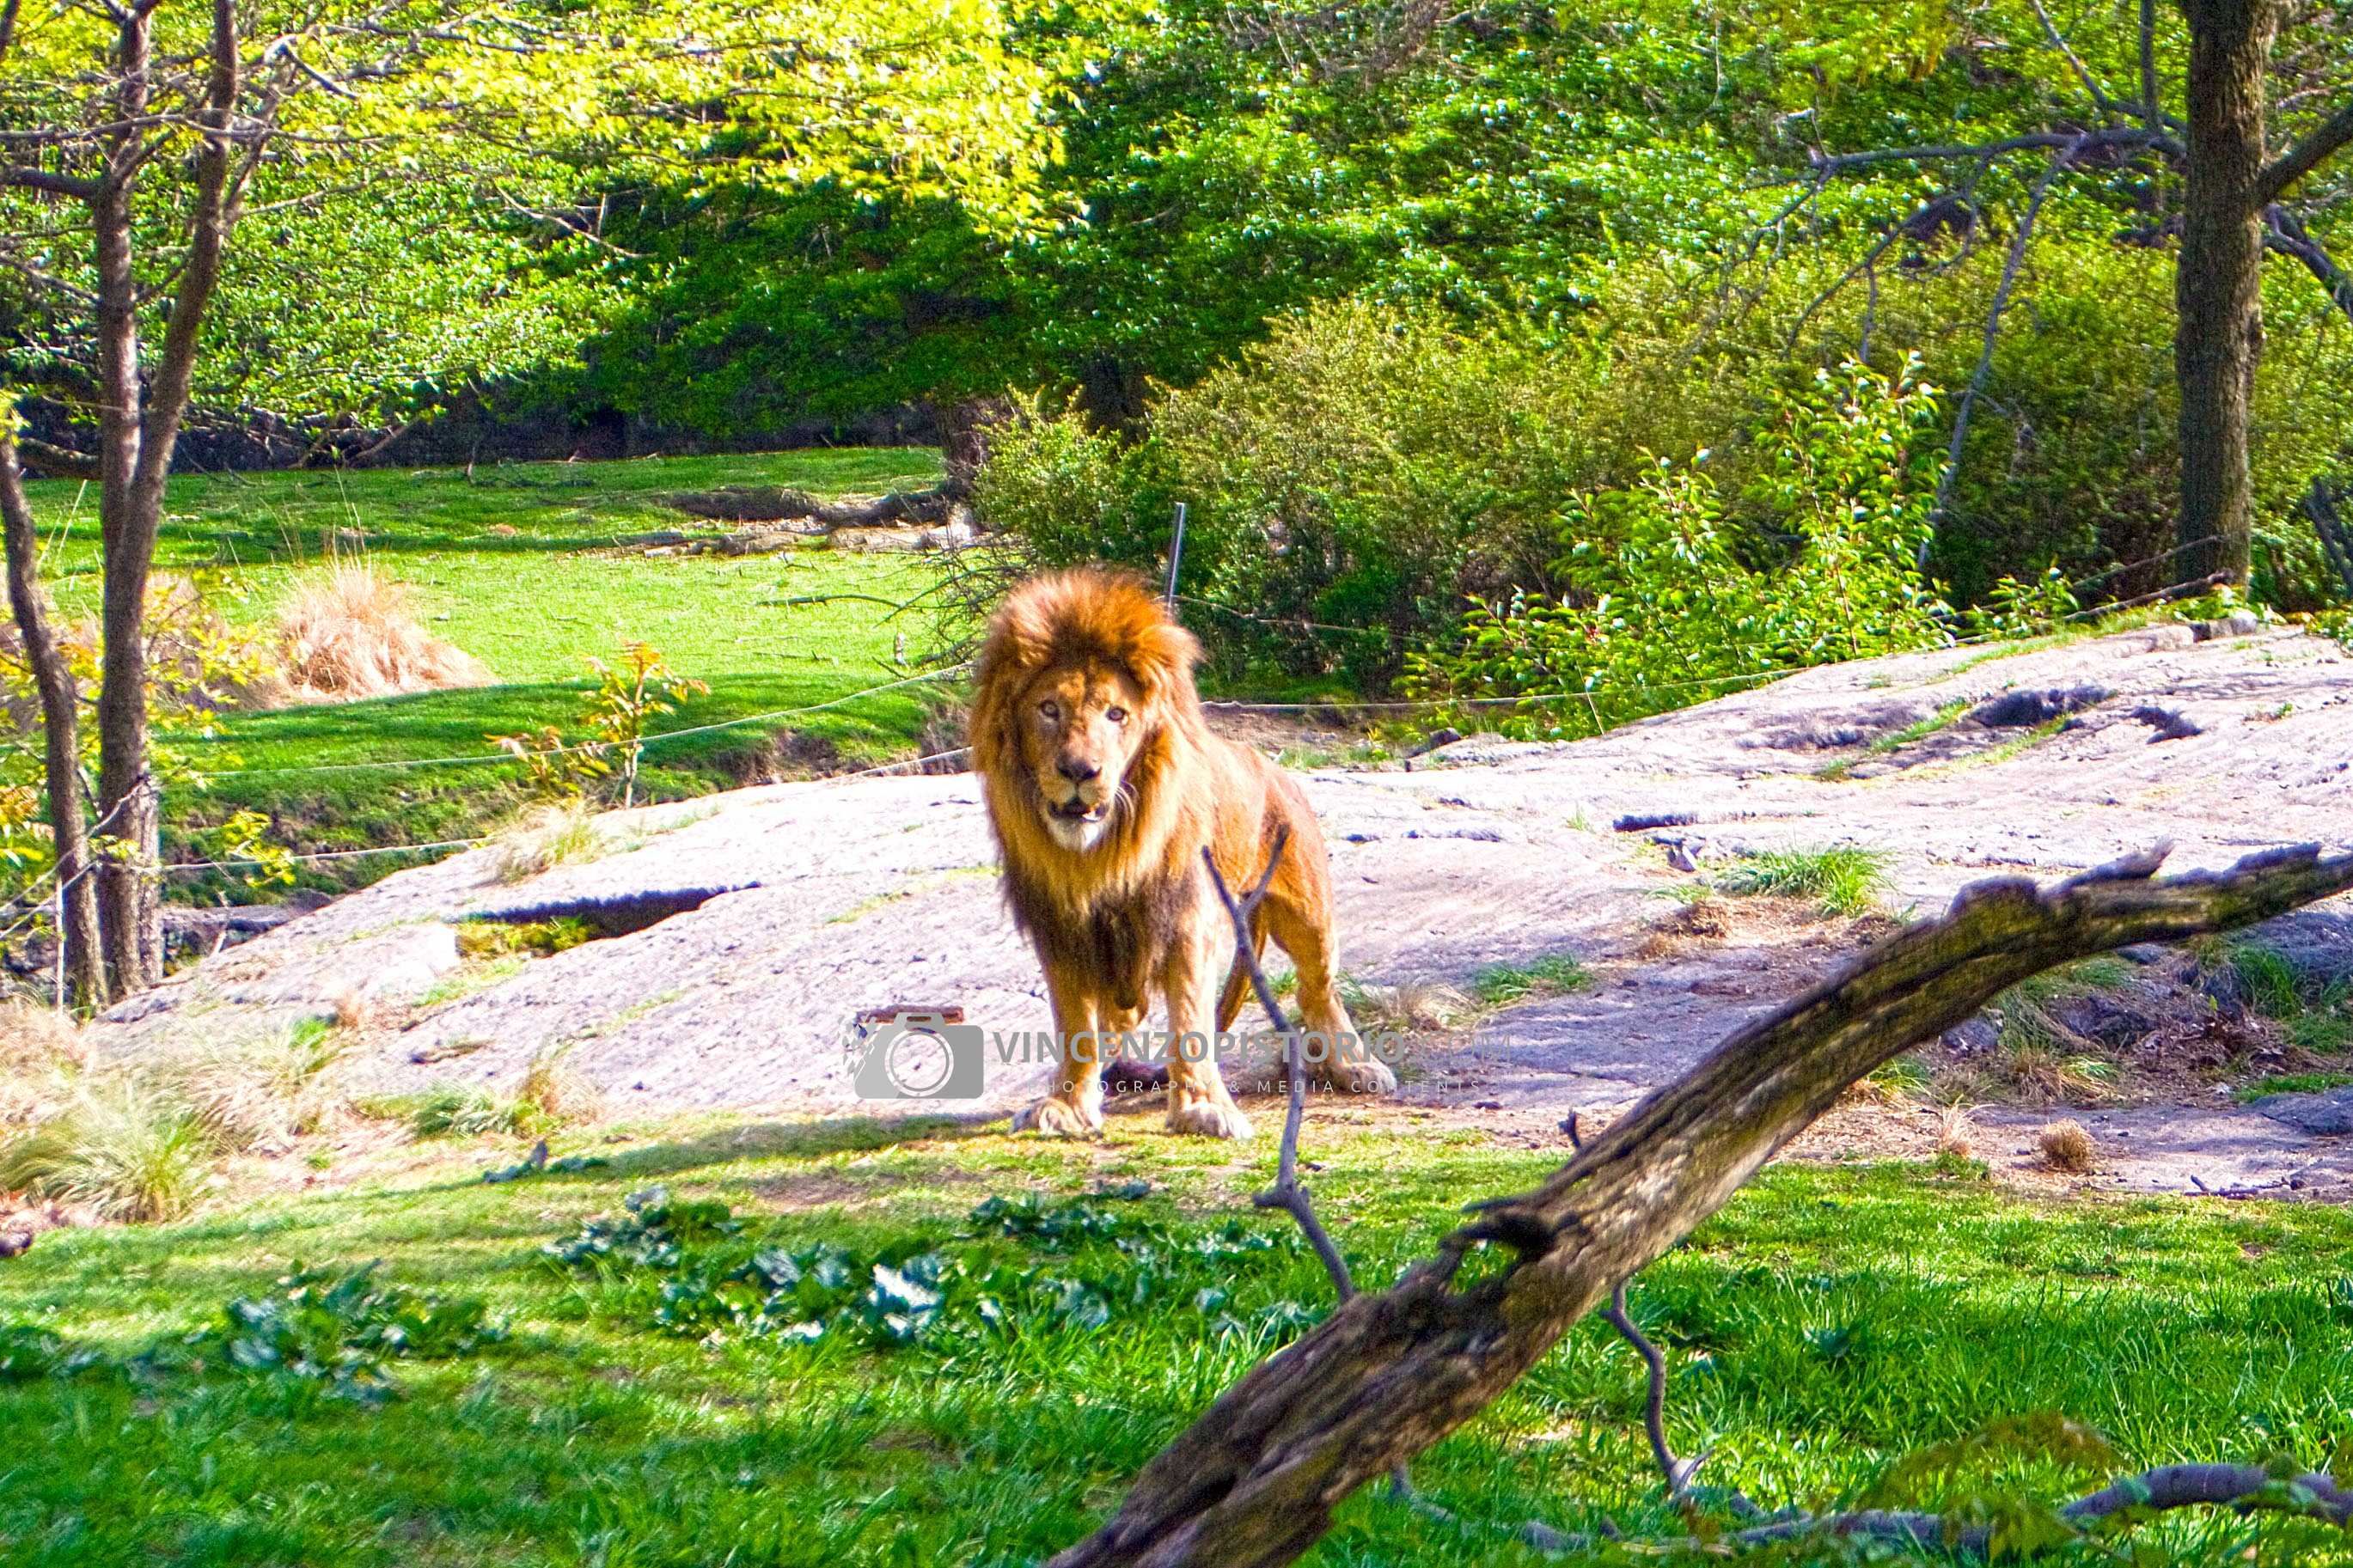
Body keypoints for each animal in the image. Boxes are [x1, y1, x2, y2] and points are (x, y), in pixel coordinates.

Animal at [974, 566, 1392, 1142]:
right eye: (1049, 710)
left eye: (1117, 714)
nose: (1080, 771)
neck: (1104, 853)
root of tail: (1272, 765)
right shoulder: (1060, 929)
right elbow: (1076, 1025)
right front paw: (1068, 1105)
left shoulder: (1188, 919)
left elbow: (1192, 1018)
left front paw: (1202, 1108)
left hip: (1310, 912)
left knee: (1318, 990)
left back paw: (1354, 1066)